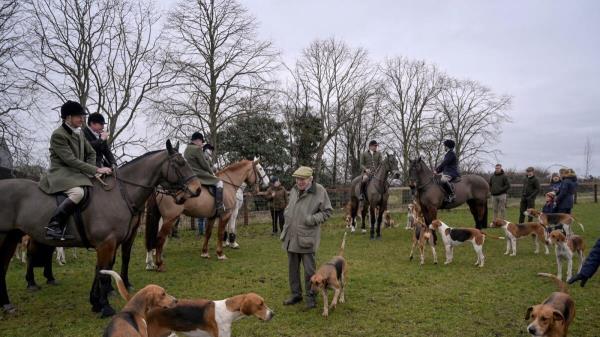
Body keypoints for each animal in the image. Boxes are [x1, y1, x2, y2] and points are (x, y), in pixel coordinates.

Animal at [0, 140, 202, 316]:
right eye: (179, 163)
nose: (198, 189)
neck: (120, 195)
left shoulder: (113, 243)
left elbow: (102, 270)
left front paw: (95, 302)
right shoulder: (106, 243)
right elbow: (104, 273)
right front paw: (105, 306)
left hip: (13, 237)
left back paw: (8, 303)